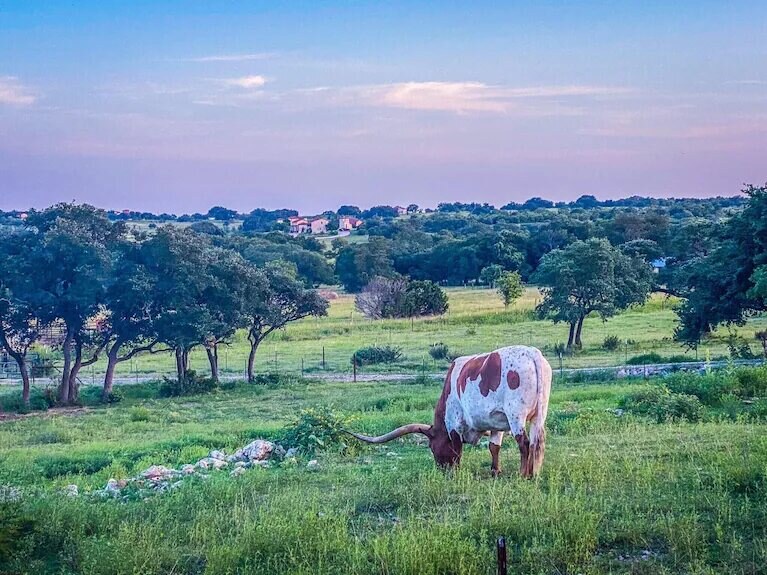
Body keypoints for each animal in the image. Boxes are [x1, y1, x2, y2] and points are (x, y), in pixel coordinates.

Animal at [346, 345, 552, 477]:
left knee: (524, 443)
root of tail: (532, 354)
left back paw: (523, 474)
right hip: (539, 415)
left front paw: (457, 471)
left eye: (431, 446)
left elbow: (457, 448)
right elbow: (494, 447)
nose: (441, 469)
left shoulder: (454, 423)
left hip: (516, 415)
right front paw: (495, 471)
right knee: (536, 442)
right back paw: (534, 473)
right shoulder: (496, 423)